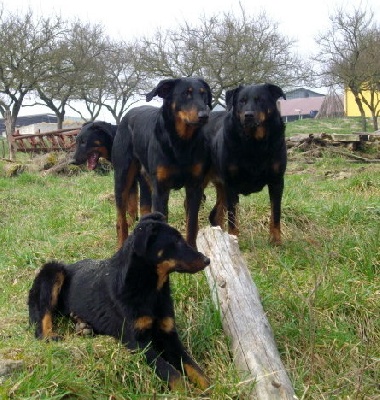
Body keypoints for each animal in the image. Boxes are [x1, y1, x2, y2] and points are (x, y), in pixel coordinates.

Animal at [27, 212, 211, 390]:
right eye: (176, 241)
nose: (207, 260)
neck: (150, 289)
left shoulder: (169, 336)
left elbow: (192, 366)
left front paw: (210, 388)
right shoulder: (137, 342)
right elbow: (169, 371)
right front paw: (185, 391)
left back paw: (83, 326)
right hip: (53, 271)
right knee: (42, 319)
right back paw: (51, 336)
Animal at [113, 76, 212, 248]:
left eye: (203, 94)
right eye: (186, 93)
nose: (204, 115)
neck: (181, 143)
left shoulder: (195, 187)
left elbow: (192, 225)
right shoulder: (161, 189)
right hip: (122, 177)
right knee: (121, 218)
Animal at [203, 83, 286, 244]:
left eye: (260, 100)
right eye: (242, 101)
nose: (248, 114)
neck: (255, 143)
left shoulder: (277, 181)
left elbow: (276, 212)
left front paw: (276, 240)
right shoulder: (231, 184)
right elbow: (233, 217)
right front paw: (233, 238)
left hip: (221, 186)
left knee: (215, 214)